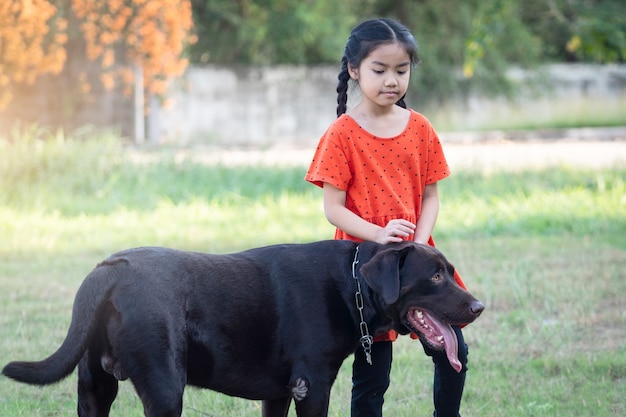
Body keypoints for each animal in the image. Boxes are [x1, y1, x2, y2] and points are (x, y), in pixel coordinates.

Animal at [2, 239, 482, 414]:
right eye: (434, 276)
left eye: (449, 271)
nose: (478, 306)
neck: (352, 283)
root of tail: (109, 270)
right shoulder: (312, 386)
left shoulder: (281, 392)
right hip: (164, 388)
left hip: (94, 388)